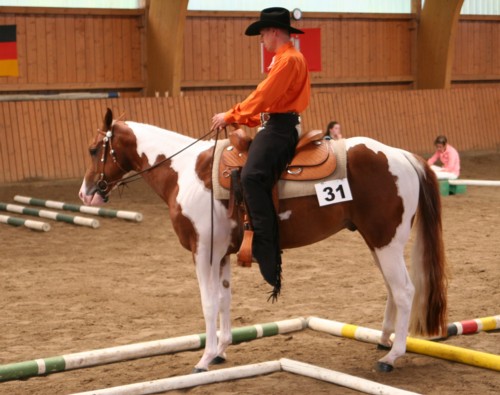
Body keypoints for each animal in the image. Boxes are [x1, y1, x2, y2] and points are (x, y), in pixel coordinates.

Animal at [80, 109, 448, 374]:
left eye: (94, 149)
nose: (86, 194)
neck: (184, 171)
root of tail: (402, 156)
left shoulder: (203, 252)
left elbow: (208, 302)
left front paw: (204, 358)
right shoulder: (221, 254)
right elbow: (224, 300)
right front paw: (221, 351)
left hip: (386, 242)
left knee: (405, 291)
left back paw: (393, 356)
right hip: (379, 243)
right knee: (393, 289)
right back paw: (384, 340)